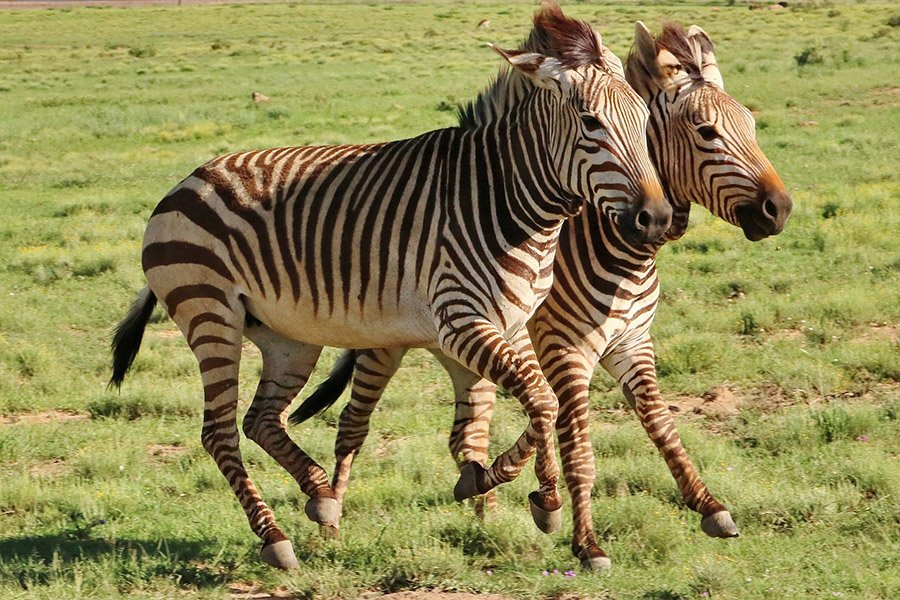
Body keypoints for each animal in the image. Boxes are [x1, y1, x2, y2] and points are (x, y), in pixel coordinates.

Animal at [109, 5, 670, 570]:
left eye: (645, 121)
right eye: (590, 122)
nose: (657, 219)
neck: (505, 200)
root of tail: (185, 182)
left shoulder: (511, 325)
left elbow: (536, 406)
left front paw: (534, 497)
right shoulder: (459, 321)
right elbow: (543, 402)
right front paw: (508, 489)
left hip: (287, 338)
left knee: (261, 420)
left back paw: (321, 498)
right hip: (211, 316)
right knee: (220, 432)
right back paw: (275, 538)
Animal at [289, 21, 793, 570]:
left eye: (751, 124)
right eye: (707, 132)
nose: (780, 209)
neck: (614, 241)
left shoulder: (631, 341)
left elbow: (662, 424)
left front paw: (709, 506)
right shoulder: (563, 347)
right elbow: (580, 449)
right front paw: (587, 543)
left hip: (465, 349)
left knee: (465, 435)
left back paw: (485, 514)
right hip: (388, 344)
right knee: (353, 426)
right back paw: (331, 526)